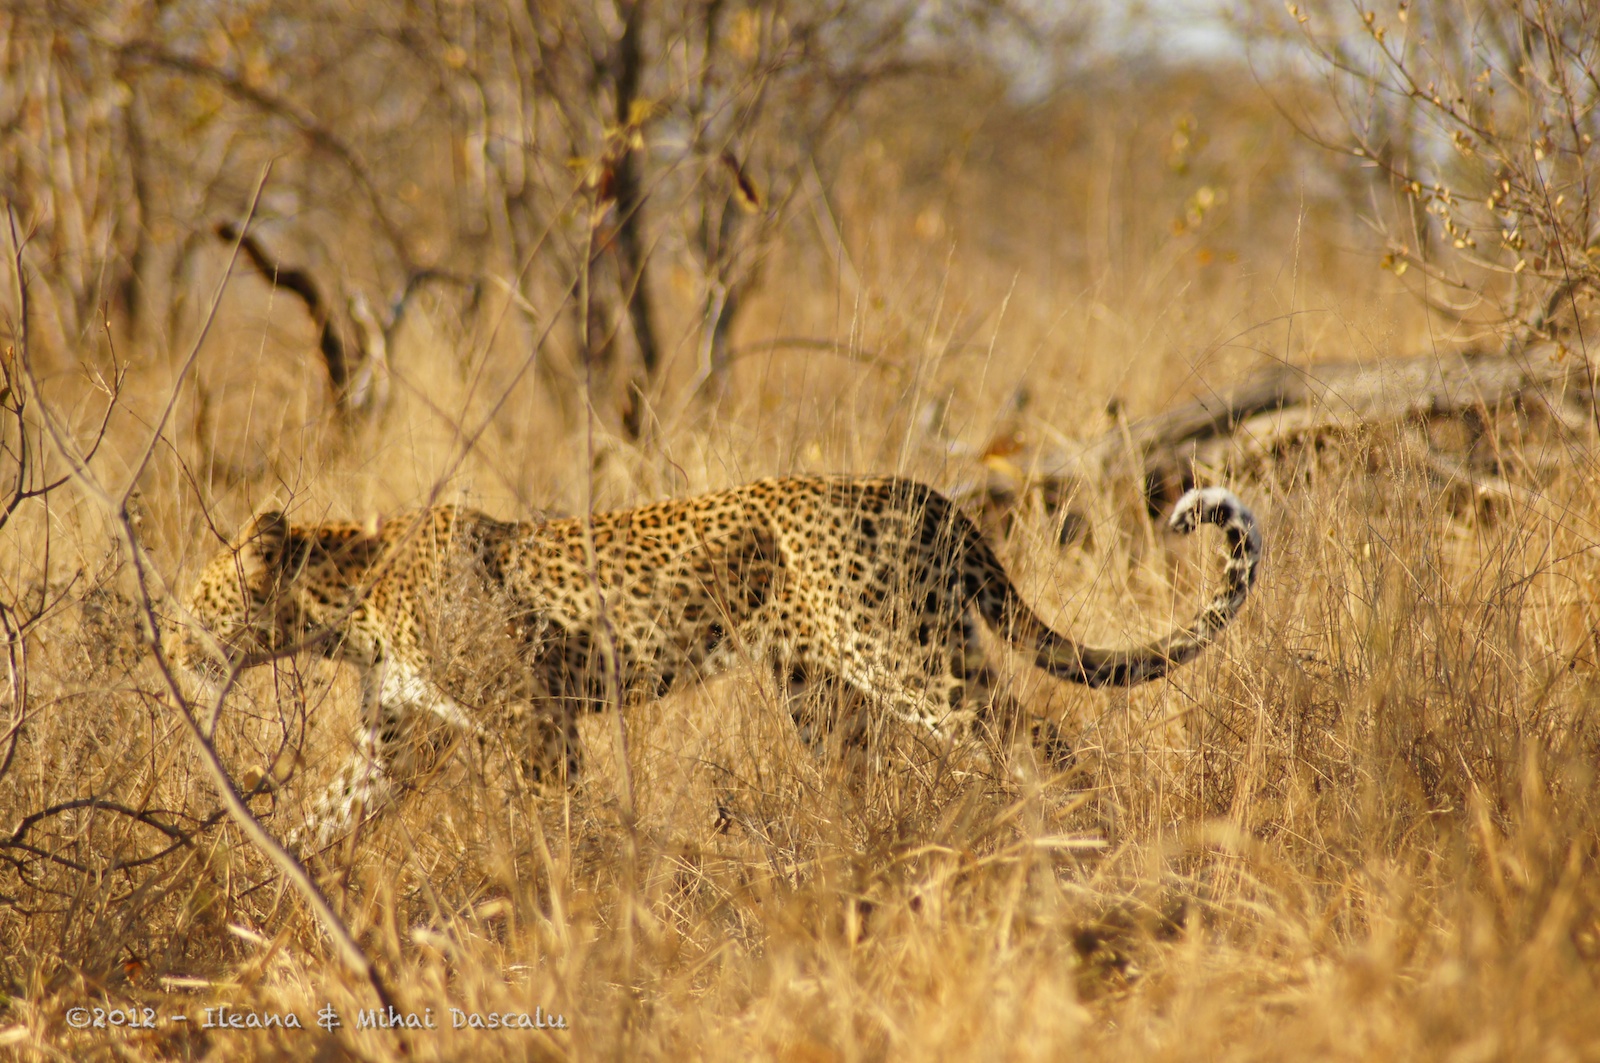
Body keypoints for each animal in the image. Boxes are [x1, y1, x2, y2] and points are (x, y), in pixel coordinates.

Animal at [167, 475, 1260, 851]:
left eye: (188, 611)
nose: (164, 650)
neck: (347, 598)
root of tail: (926, 492)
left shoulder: (534, 722)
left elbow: (553, 829)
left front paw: (564, 906)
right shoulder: (392, 743)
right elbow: (316, 824)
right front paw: (239, 896)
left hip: (909, 657)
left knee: (1037, 741)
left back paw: (1074, 850)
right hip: (822, 691)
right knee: (873, 776)